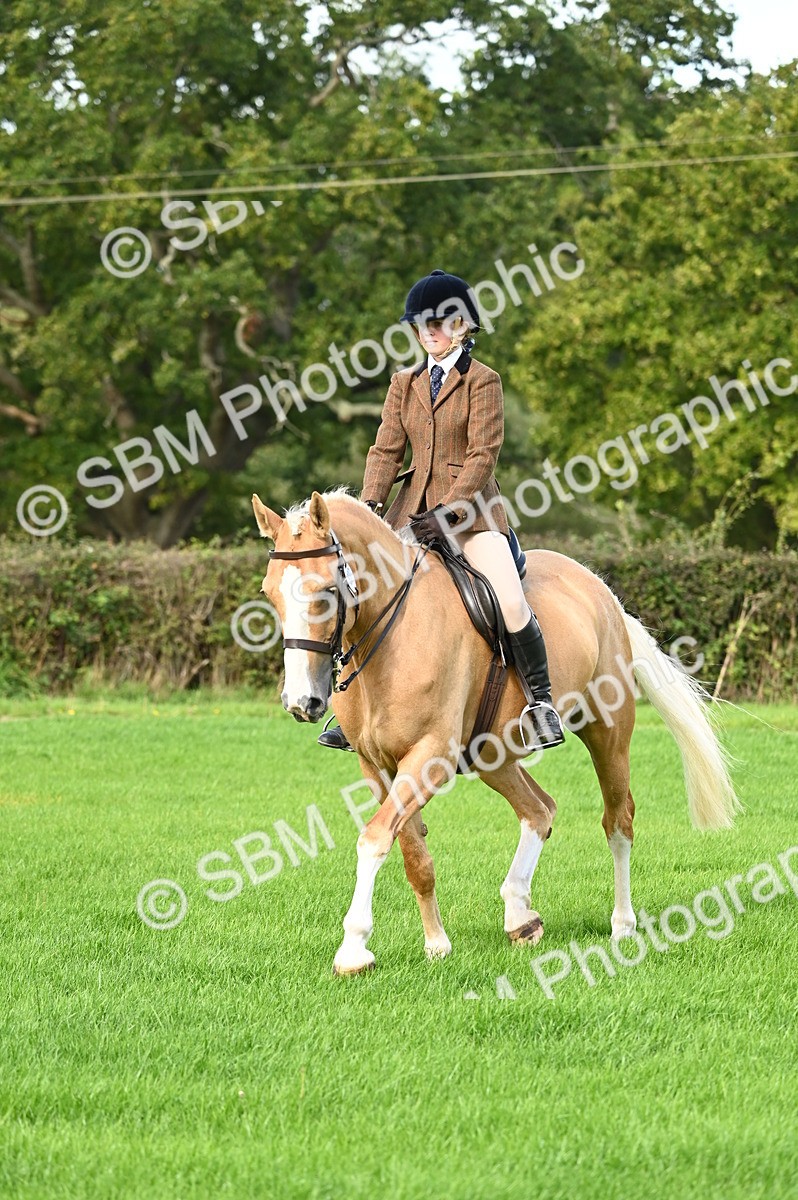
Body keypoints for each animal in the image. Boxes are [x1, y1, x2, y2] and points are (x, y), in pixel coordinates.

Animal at [251, 486, 739, 976]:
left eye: (326, 591)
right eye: (270, 594)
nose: (301, 701)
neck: (390, 637)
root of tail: (600, 589)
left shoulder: (430, 757)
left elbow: (373, 839)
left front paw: (353, 949)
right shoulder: (376, 766)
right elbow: (412, 853)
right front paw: (437, 944)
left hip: (608, 733)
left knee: (618, 821)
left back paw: (622, 926)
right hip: (492, 755)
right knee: (539, 809)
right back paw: (520, 915)